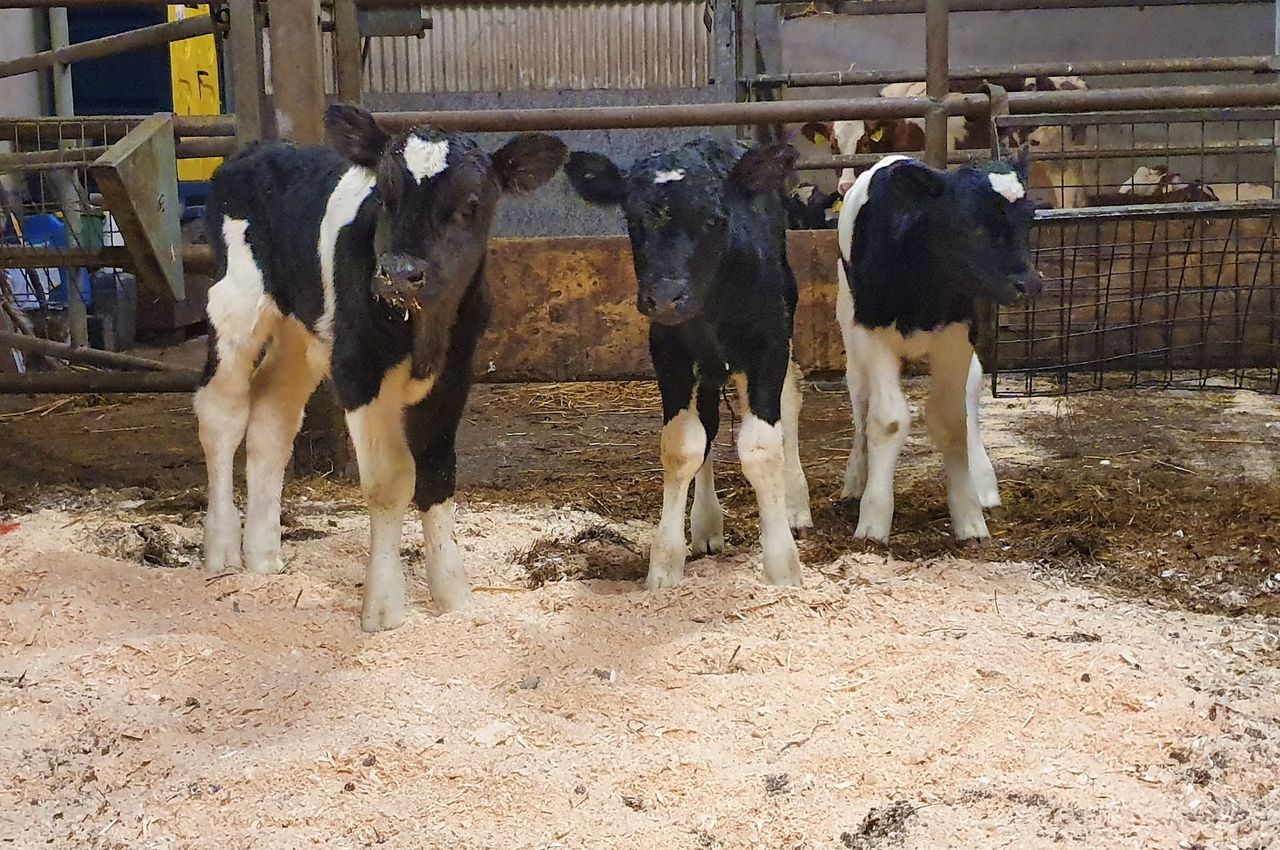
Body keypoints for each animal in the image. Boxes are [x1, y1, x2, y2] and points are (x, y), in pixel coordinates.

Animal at [195, 104, 567, 631]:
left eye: (471, 203)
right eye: (386, 198)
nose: (399, 274)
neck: (424, 330)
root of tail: (258, 149)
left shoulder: (455, 375)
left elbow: (437, 474)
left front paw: (453, 596)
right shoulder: (359, 370)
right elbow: (391, 482)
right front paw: (384, 606)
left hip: (300, 332)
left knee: (272, 418)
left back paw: (263, 557)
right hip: (235, 305)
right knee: (222, 415)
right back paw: (222, 547)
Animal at [564, 137, 812, 589]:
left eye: (715, 219)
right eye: (633, 220)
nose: (665, 297)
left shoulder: (769, 344)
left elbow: (762, 446)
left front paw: (783, 566)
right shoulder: (669, 351)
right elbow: (683, 447)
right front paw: (665, 565)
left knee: (789, 399)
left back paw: (795, 504)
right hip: (707, 365)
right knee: (710, 423)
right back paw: (707, 525)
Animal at [836, 152, 1042, 542]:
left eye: (1030, 219)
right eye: (971, 224)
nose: (1029, 284)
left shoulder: (958, 334)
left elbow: (952, 421)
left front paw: (969, 516)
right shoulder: (872, 332)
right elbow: (886, 420)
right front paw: (873, 520)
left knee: (971, 392)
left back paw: (983, 481)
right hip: (849, 330)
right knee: (859, 396)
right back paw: (855, 479)